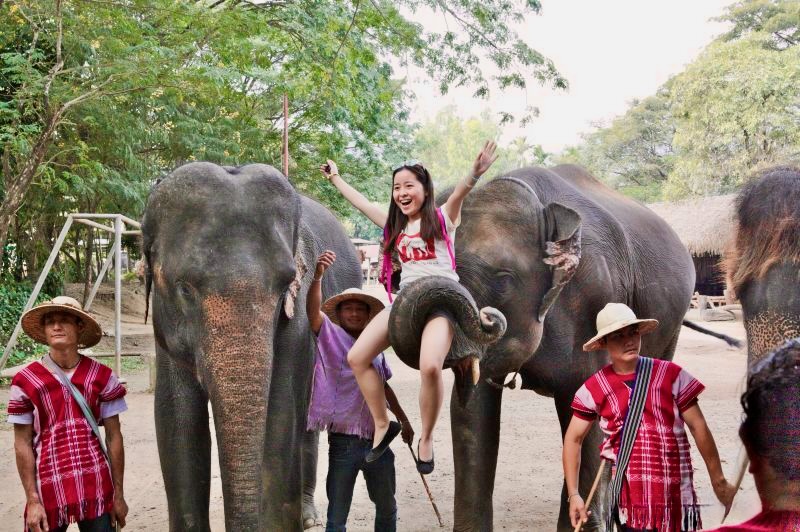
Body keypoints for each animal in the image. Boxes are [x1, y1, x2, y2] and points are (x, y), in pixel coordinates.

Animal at [141, 163, 360, 532]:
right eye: (184, 289)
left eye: (286, 285)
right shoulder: (165, 332)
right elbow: (176, 418)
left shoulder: (297, 321)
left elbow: (282, 411)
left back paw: (309, 517)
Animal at [392, 164, 700, 528]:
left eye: (503, 280)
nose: (489, 318)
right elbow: (472, 414)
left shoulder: (595, 300)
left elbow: (589, 416)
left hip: (671, 325)